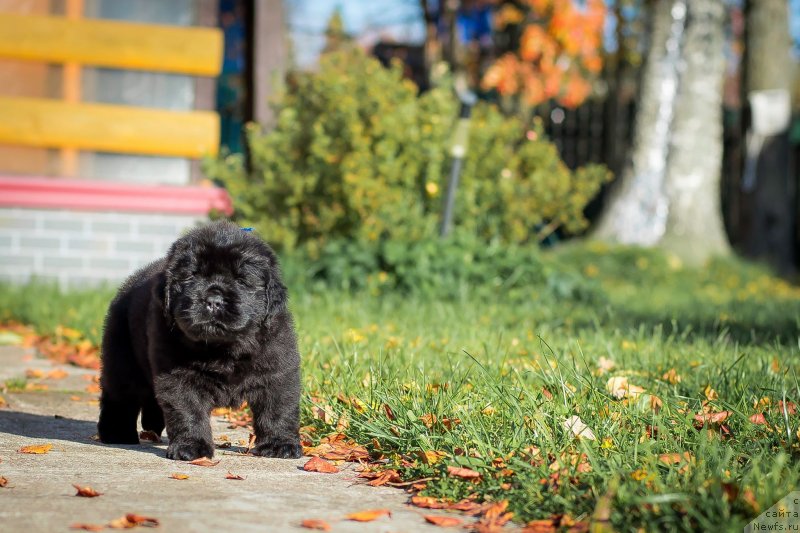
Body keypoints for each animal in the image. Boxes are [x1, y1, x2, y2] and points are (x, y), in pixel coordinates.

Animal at [97, 218, 302, 460]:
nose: (213, 300)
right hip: (122, 360)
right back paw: (117, 433)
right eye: (191, 276)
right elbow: (188, 411)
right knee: (120, 397)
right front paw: (192, 447)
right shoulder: (179, 376)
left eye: (242, 280)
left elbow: (277, 409)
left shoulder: (277, 370)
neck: (223, 347)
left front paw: (280, 445)